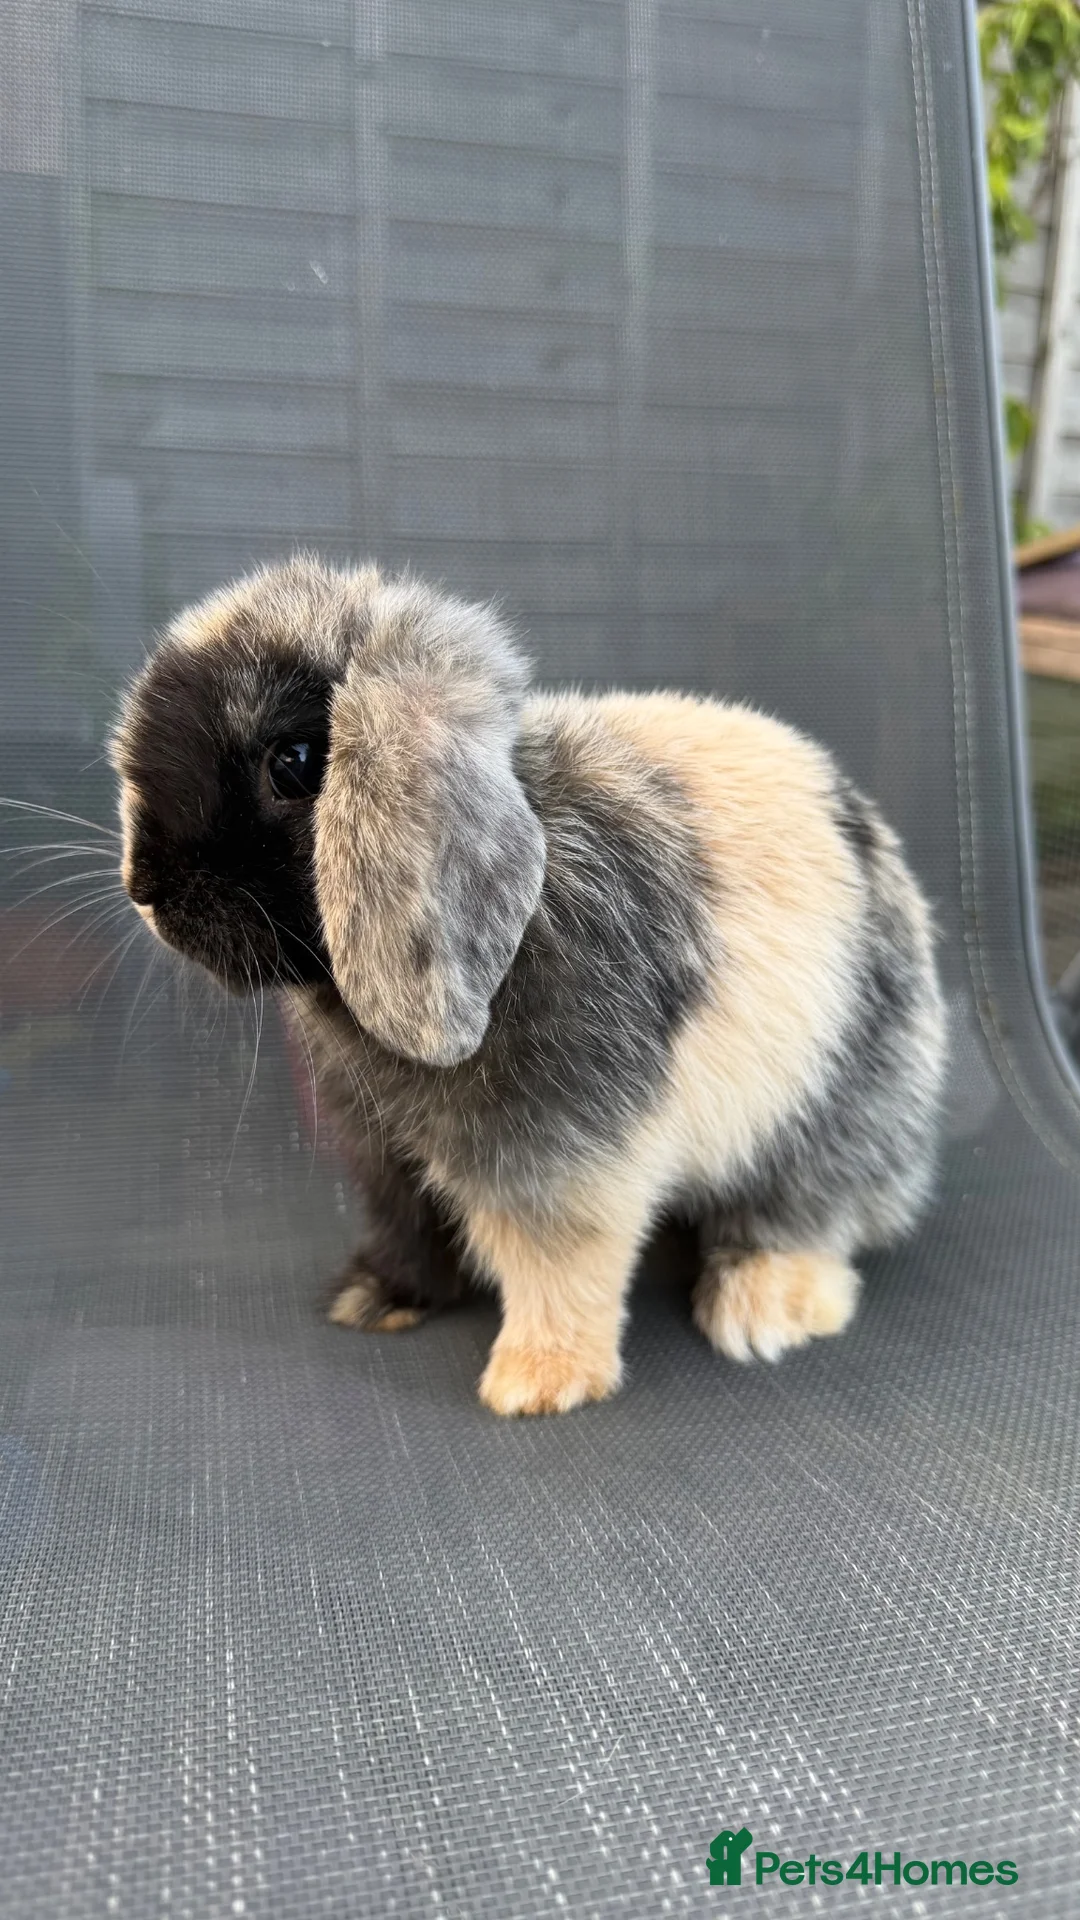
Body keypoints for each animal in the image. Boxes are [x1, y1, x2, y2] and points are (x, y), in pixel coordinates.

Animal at [112, 555, 946, 1416]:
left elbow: (560, 1263)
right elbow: (405, 1225)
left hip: (824, 1108)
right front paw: (376, 1299)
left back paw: (762, 1305)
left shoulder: (557, 1158)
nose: (145, 890)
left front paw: (537, 1380)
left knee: (814, 1211)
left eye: (296, 763)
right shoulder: (383, 1152)